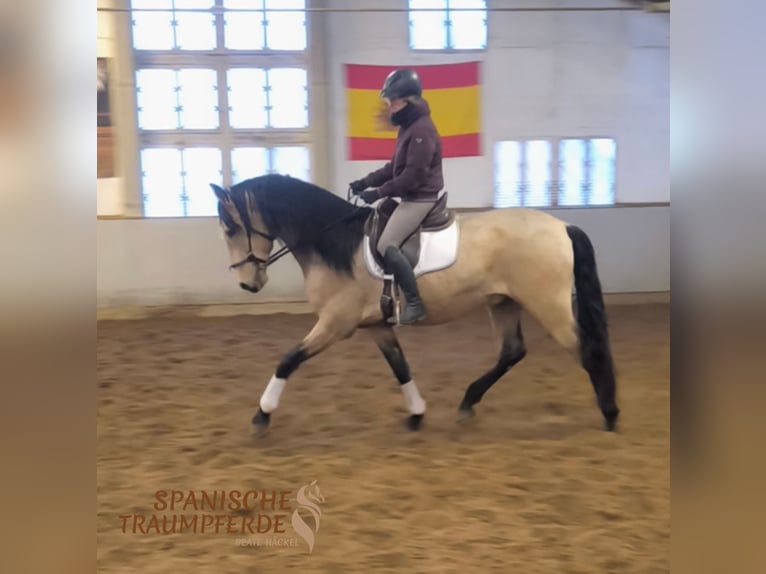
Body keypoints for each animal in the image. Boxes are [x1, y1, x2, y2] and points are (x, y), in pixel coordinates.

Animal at [209, 173, 620, 434]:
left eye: (231, 228)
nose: (248, 284)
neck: (336, 242)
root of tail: (561, 226)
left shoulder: (336, 323)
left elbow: (288, 360)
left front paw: (262, 415)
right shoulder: (375, 325)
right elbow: (400, 367)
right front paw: (417, 414)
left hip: (547, 304)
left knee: (586, 348)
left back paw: (611, 414)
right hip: (504, 302)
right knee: (512, 351)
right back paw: (468, 402)